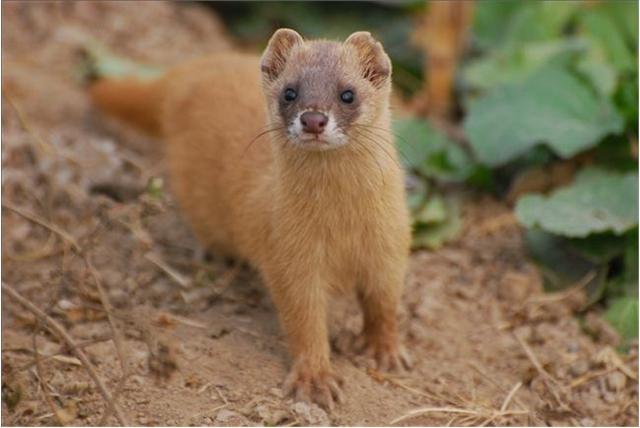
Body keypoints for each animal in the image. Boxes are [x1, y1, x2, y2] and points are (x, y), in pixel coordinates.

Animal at [89, 30, 410, 408]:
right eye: (290, 92)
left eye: (348, 93)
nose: (313, 119)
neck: (343, 225)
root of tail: (190, 70)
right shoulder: (287, 255)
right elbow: (304, 321)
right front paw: (315, 379)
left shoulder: (391, 245)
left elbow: (384, 303)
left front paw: (386, 351)